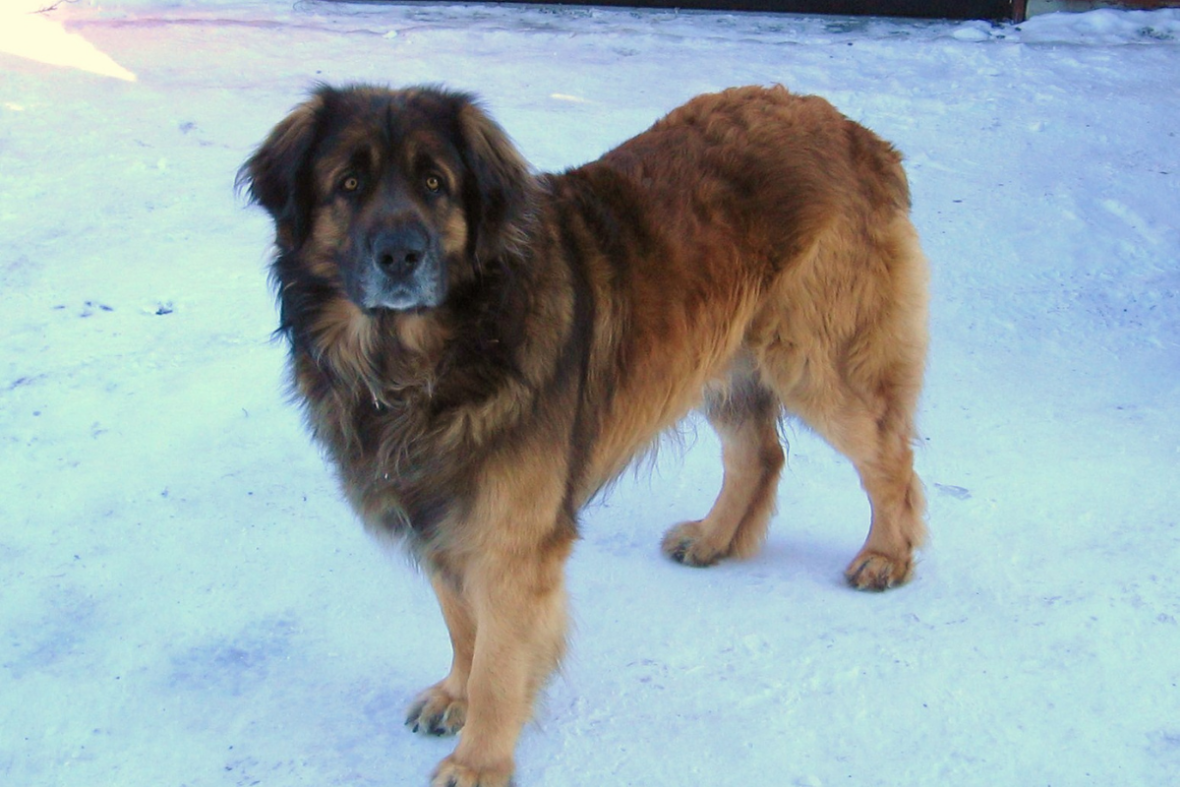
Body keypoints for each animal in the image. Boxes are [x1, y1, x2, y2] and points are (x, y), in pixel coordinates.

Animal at [237, 83, 929, 783]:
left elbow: (497, 664)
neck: (432, 355)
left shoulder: (509, 540)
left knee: (889, 457)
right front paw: (454, 696)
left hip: (817, 358)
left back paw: (886, 557)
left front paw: (479, 760)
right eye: (349, 183)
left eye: (435, 183)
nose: (400, 256)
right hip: (721, 355)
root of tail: (857, 133)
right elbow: (462, 624)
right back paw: (713, 539)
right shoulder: (443, 512)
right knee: (759, 453)